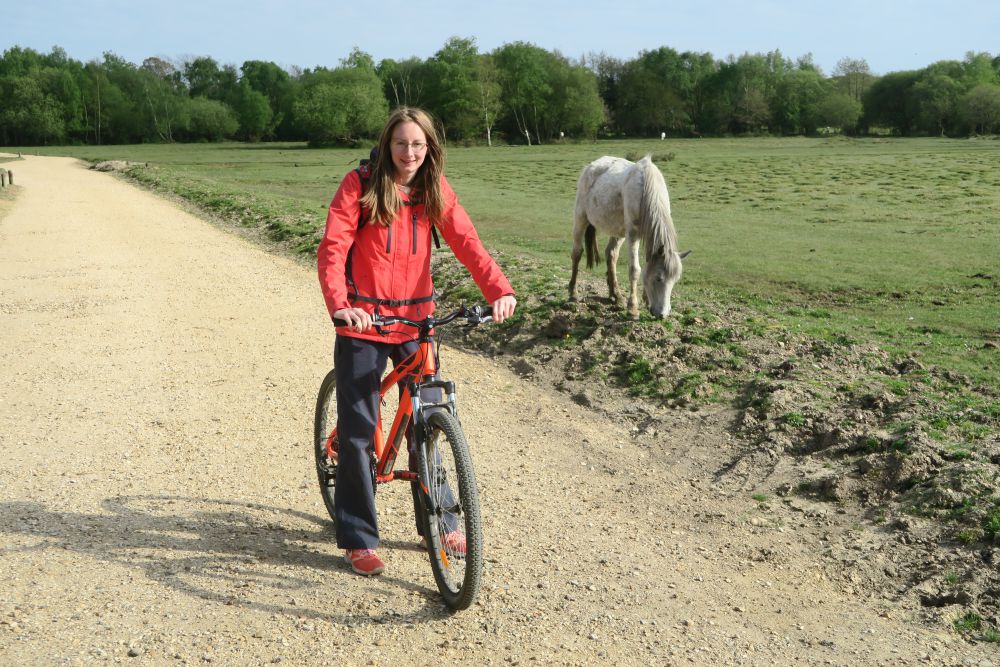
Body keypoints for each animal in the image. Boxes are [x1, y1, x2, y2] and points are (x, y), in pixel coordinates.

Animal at [572, 155, 688, 320]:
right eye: (659, 278)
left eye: (675, 280)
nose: (663, 314)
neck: (646, 189)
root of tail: (591, 166)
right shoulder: (633, 234)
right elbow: (635, 270)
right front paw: (633, 308)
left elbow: (647, 264)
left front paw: (646, 300)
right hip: (580, 218)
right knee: (577, 253)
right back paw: (573, 294)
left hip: (619, 231)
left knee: (611, 255)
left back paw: (616, 295)